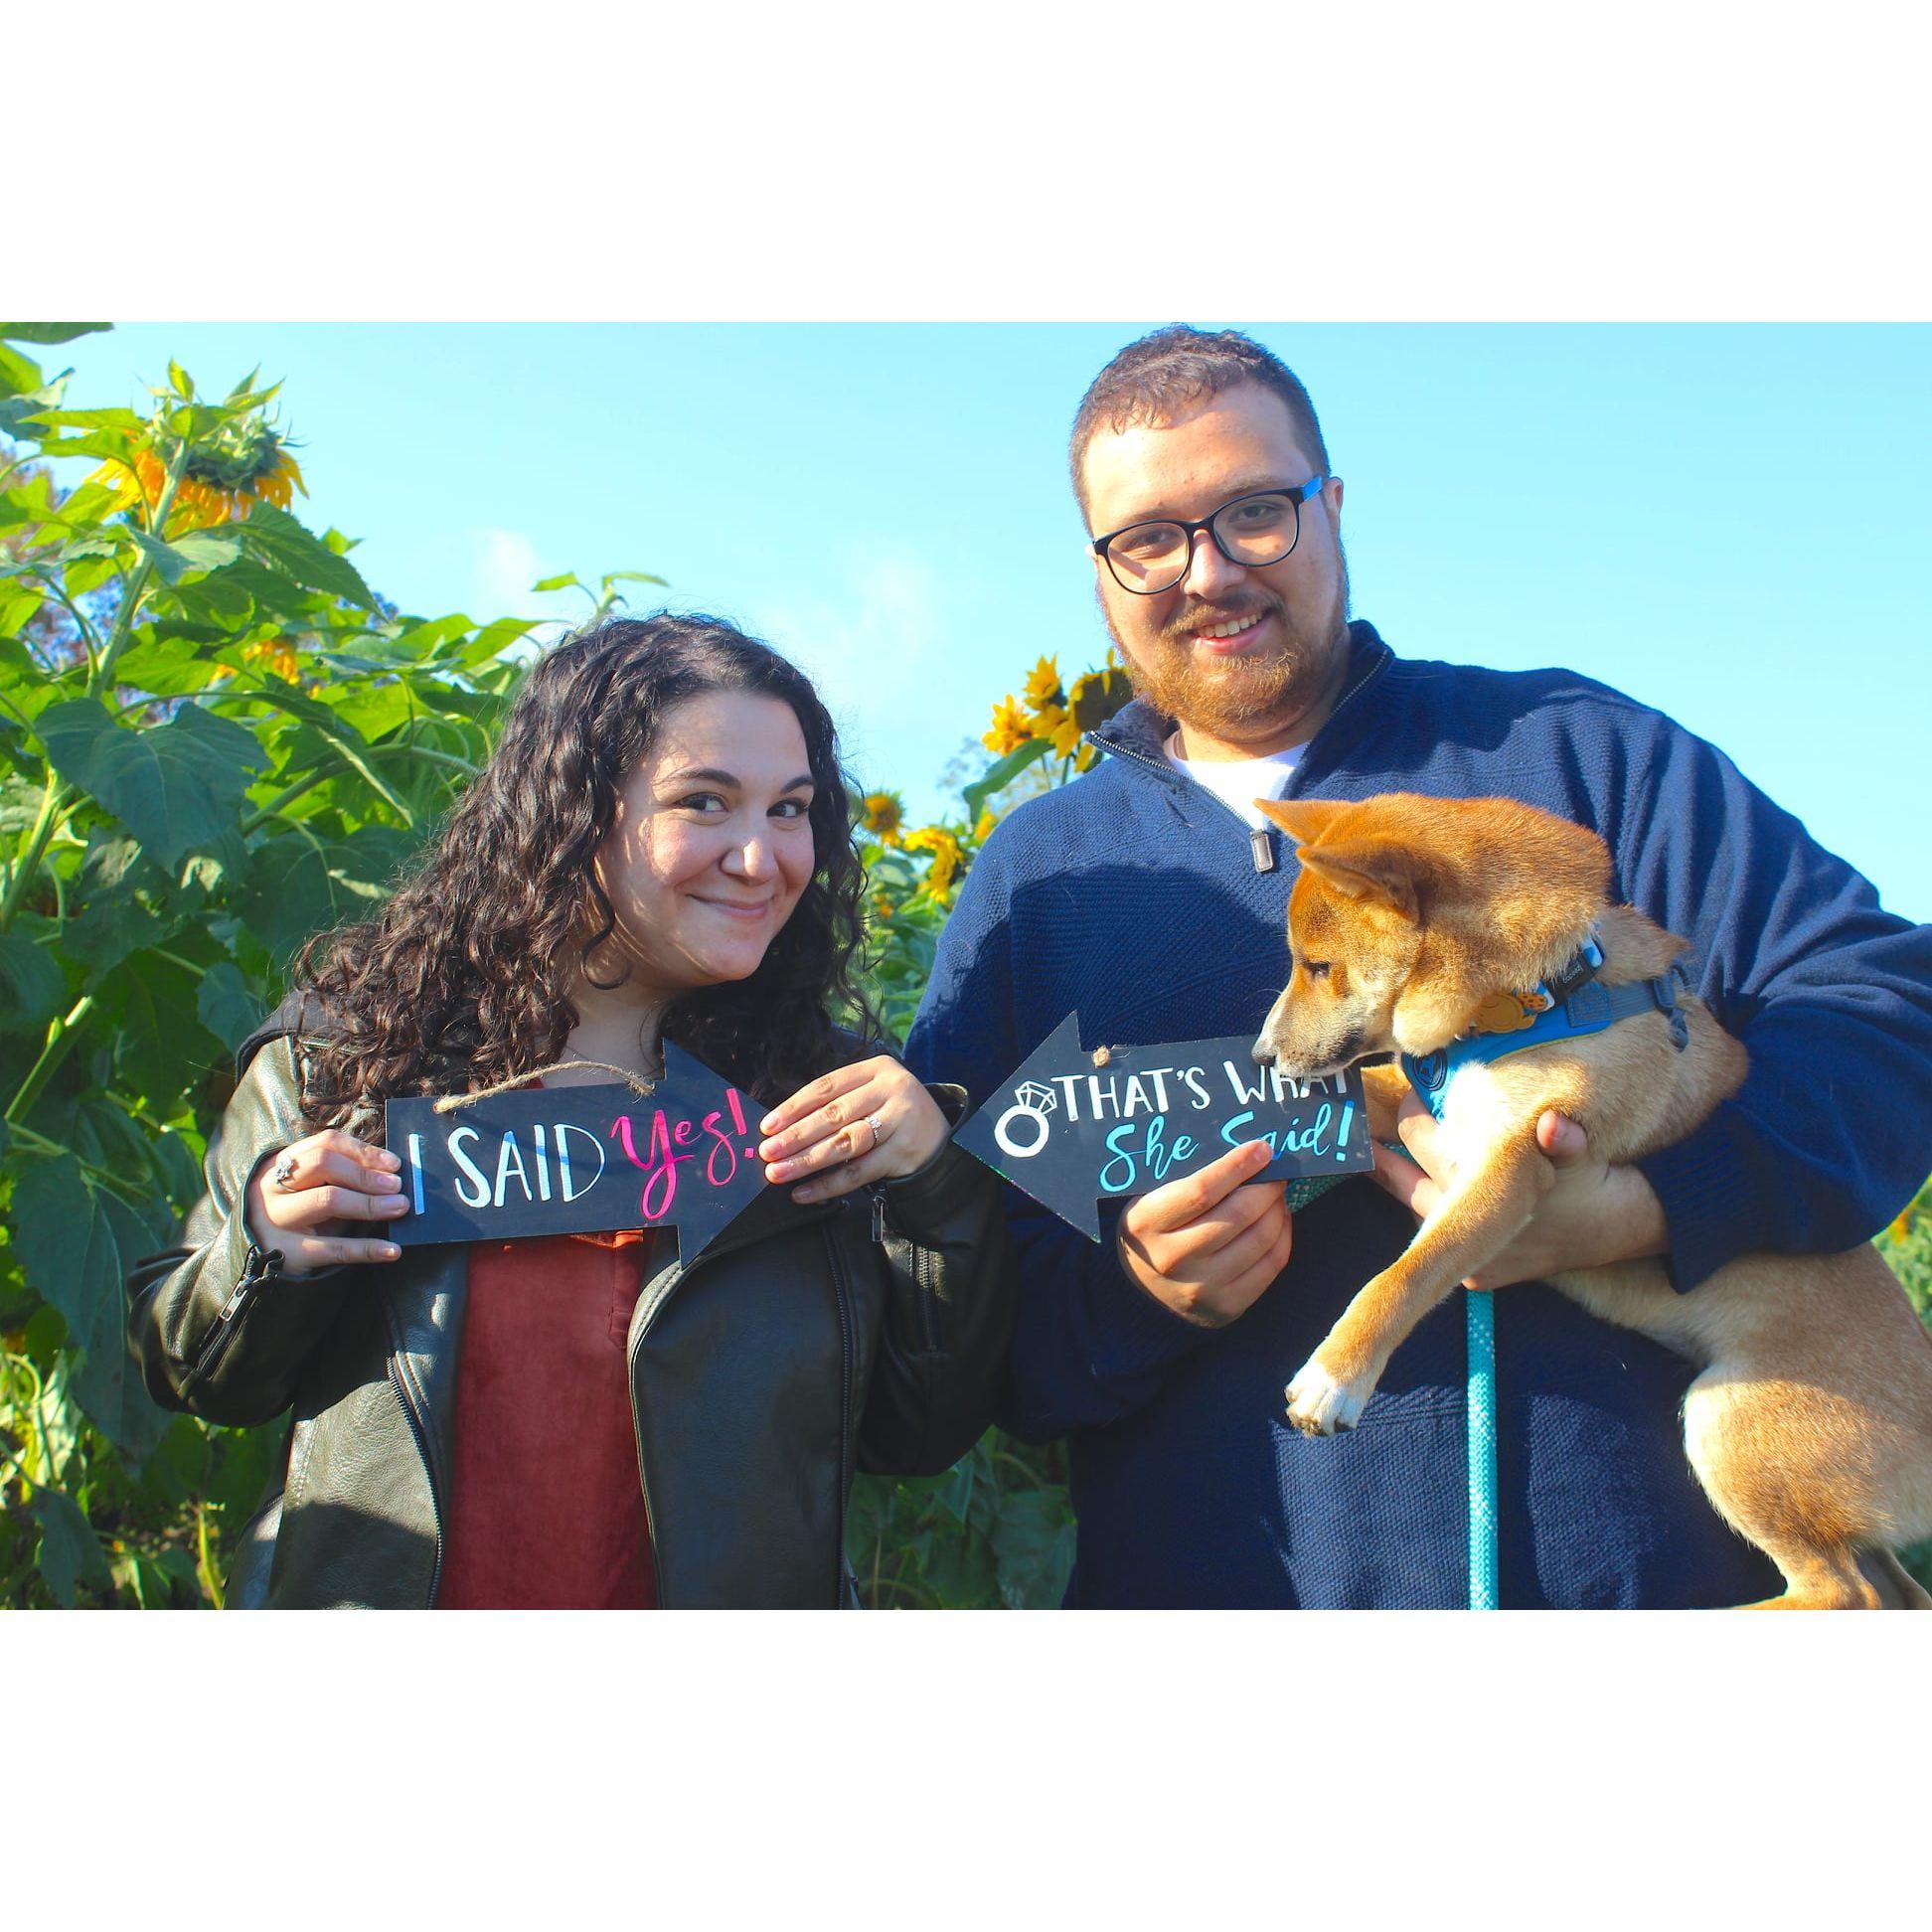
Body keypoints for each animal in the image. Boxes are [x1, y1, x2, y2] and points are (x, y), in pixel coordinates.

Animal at [1243, 792, 1924, 1607]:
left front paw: (1336, 1376)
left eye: (1319, 967)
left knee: (1839, 1592)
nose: (1259, 1056)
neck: (1536, 1000)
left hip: (1729, 1421)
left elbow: (1405, 1276)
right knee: (1889, 1594)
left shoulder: (1508, 1170)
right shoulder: (1418, 1102)